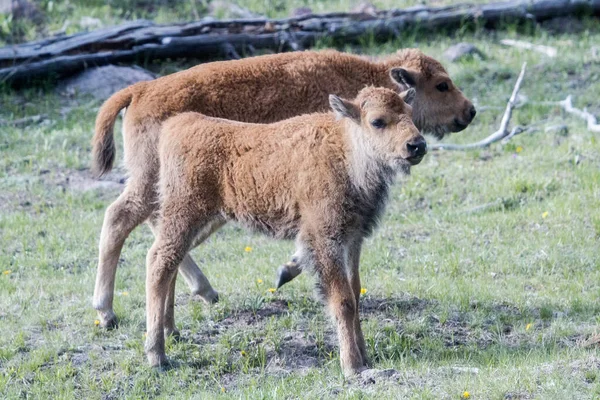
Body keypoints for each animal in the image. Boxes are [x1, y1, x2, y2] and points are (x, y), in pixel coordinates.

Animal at [91, 48, 476, 330]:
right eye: (442, 85)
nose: (470, 111)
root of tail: (140, 90)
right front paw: (287, 270)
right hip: (152, 184)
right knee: (120, 219)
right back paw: (107, 311)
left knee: (157, 230)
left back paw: (198, 296)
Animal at [144, 86, 426, 376]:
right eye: (377, 121)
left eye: (409, 112)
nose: (417, 145)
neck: (344, 150)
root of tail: (177, 124)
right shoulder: (325, 239)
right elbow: (343, 300)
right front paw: (352, 366)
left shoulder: (352, 239)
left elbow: (355, 292)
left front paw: (365, 356)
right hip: (185, 216)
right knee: (158, 262)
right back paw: (157, 356)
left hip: (199, 223)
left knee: (170, 262)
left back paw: (170, 331)